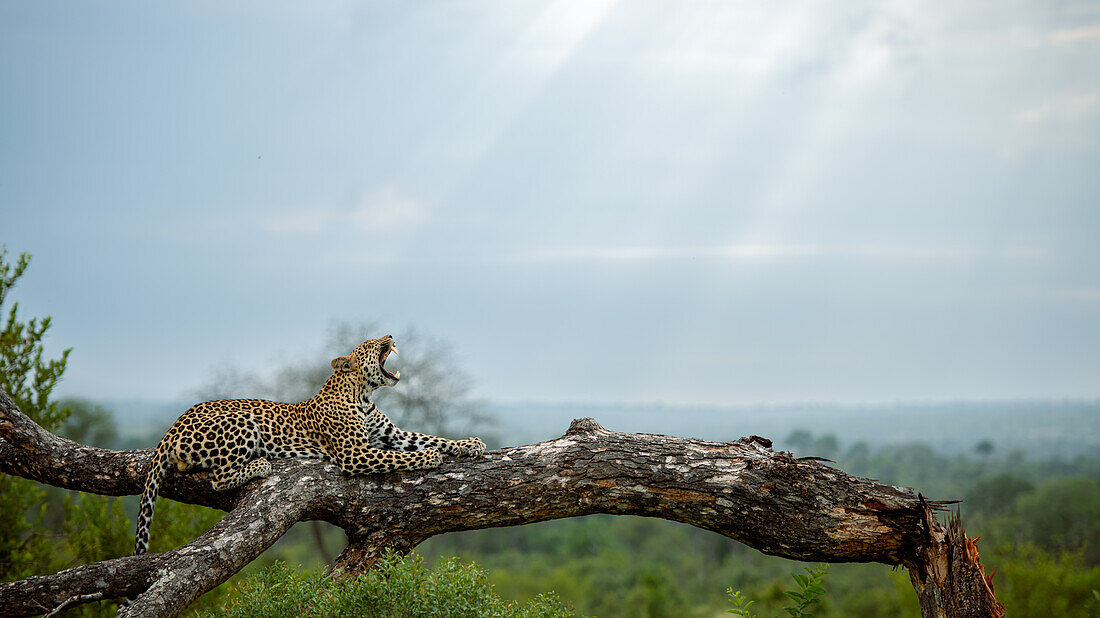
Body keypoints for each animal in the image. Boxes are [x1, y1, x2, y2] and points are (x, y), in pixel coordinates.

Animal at [133, 334, 486, 556]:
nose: (389, 334)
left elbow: (432, 437)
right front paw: (430, 457)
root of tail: (172, 426)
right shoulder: (355, 453)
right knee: (218, 478)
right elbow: (400, 457)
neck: (363, 394)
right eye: (370, 343)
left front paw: (471, 443)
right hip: (242, 420)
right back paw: (259, 464)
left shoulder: (393, 436)